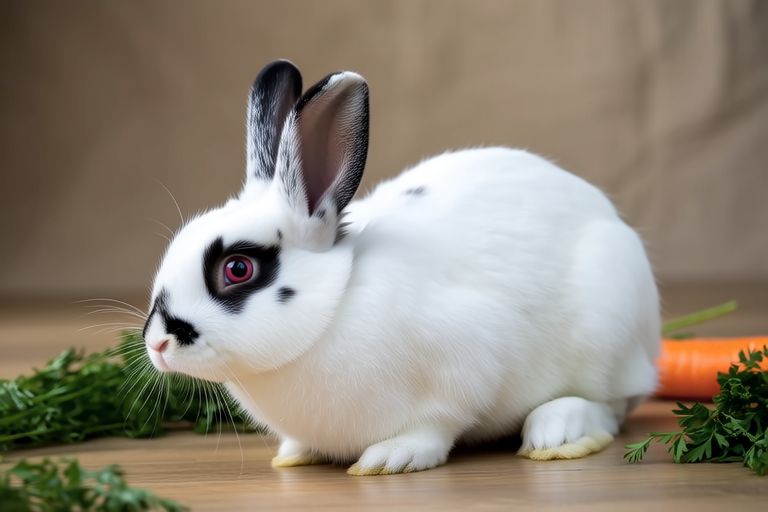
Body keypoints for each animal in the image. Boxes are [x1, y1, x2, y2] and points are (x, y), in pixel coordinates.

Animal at [142, 59, 660, 476]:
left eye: (237, 269)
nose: (157, 344)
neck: (334, 307)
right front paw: (296, 452)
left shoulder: (467, 367)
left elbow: (437, 425)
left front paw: (392, 457)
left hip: (605, 329)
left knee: (610, 406)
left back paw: (556, 431)